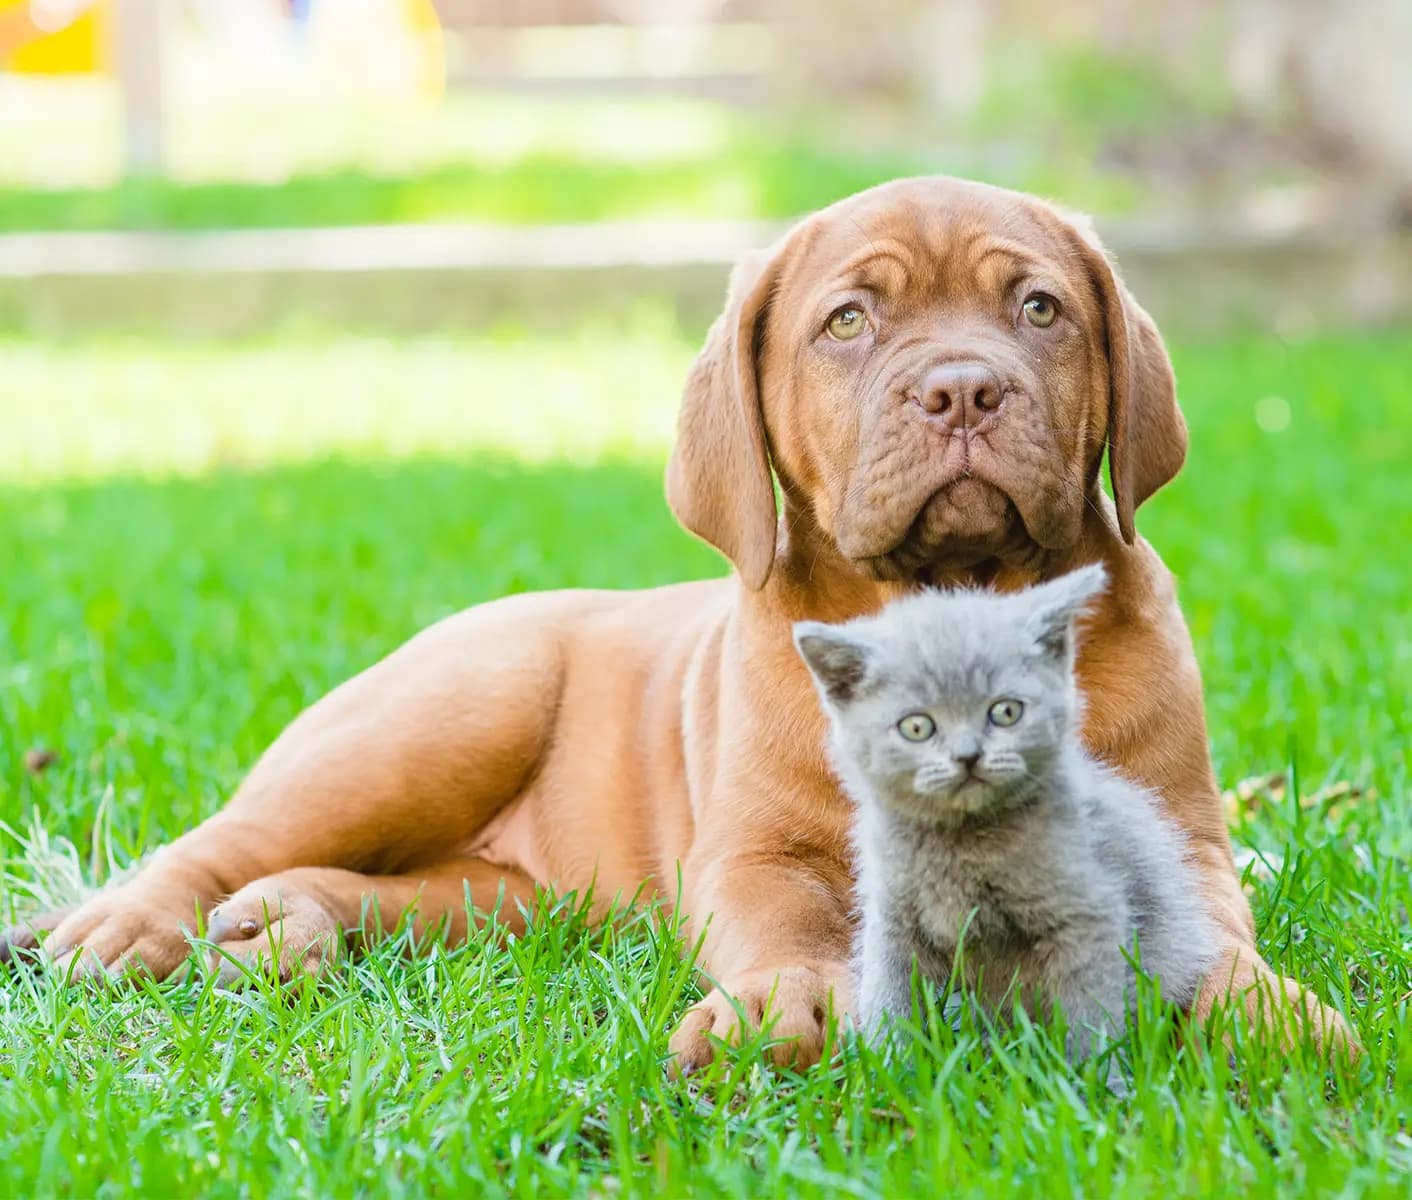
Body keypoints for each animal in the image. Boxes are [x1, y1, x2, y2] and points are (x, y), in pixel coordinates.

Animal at [802, 564, 1219, 1067]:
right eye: (917, 727)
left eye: (1005, 712)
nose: (967, 756)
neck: (962, 842)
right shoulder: (891, 919)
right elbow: (890, 996)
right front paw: (892, 1066)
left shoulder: (1089, 913)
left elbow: (1089, 1012)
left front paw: (1093, 1076)